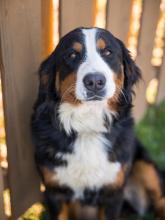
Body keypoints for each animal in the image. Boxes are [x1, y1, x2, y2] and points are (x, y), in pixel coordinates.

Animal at [31, 26, 165, 219]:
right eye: (72, 54)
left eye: (108, 52)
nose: (94, 81)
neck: (88, 125)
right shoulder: (55, 192)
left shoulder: (113, 193)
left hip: (145, 165)